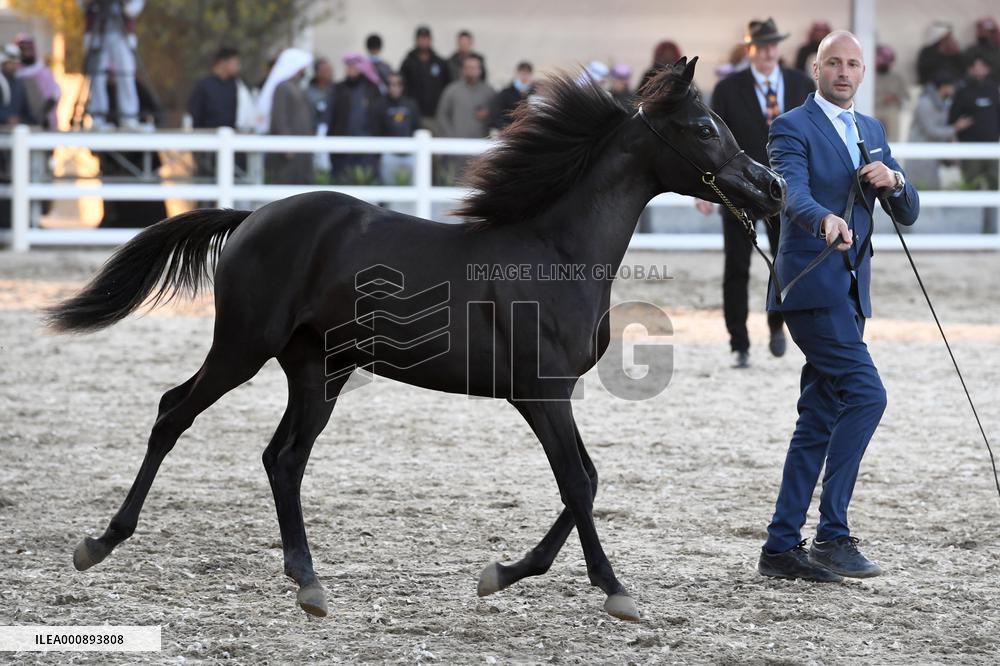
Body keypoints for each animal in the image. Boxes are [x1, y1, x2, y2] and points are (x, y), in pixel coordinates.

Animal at [46, 57, 785, 622]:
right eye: (704, 127)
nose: (772, 187)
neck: (556, 253)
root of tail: (254, 215)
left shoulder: (552, 396)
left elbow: (588, 481)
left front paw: (502, 573)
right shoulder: (541, 395)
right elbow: (578, 483)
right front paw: (614, 590)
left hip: (319, 369)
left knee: (282, 459)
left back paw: (308, 581)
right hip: (242, 347)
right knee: (174, 412)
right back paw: (101, 542)